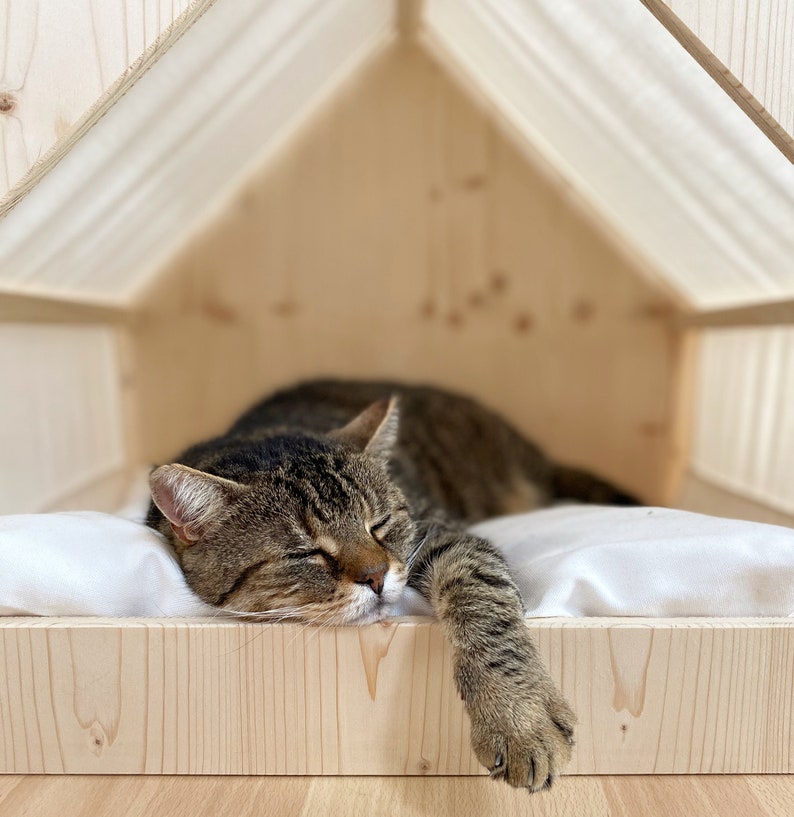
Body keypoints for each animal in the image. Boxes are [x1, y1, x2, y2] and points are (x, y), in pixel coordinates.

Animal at [145, 380, 636, 792]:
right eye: (305, 553)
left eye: (378, 524)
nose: (376, 575)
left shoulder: (442, 532)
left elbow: (483, 596)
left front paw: (518, 720)